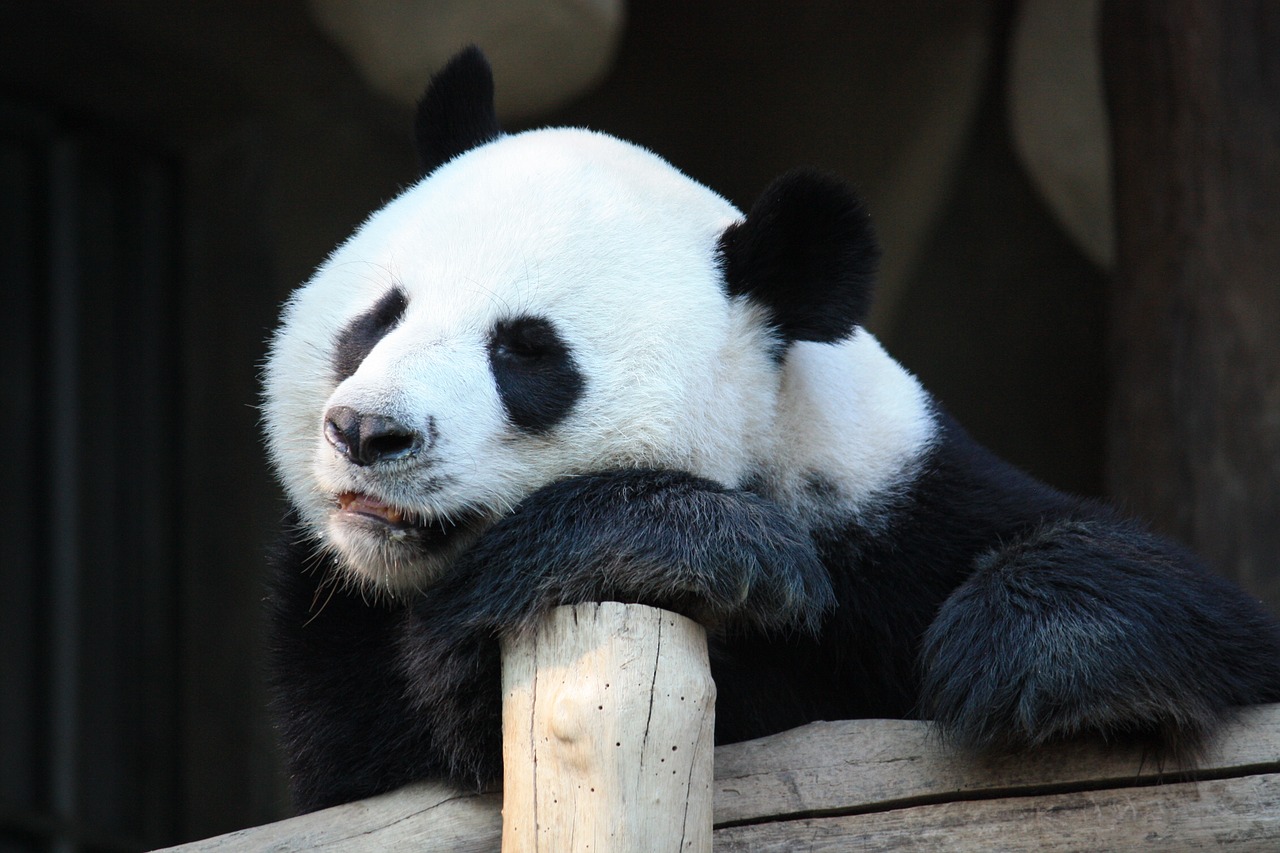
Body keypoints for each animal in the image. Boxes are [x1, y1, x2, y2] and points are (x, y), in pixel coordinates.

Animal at [259, 46, 1280, 809]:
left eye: (526, 353)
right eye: (378, 318)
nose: (368, 432)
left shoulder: (894, 504)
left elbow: (1194, 608)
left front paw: (1027, 652)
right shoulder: (332, 619)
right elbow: (387, 753)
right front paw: (695, 543)